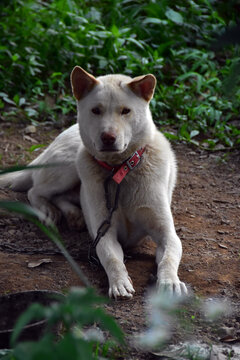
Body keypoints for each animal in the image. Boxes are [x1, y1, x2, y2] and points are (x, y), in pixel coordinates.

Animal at [0, 67, 188, 298]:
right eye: (96, 110)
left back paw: (74, 215)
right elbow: (112, 258)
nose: (108, 137)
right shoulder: (104, 233)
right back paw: (48, 211)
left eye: (126, 111)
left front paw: (170, 282)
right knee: (35, 191)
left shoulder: (166, 234)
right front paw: (119, 282)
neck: (119, 171)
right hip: (69, 166)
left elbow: (169, 257)